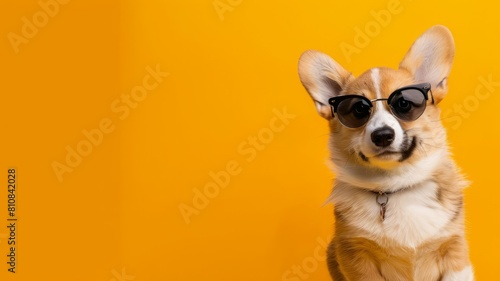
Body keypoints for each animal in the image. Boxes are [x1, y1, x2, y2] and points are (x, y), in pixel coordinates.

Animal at [298, 25, 474, 278]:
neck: (394, 186)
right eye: (358, 110)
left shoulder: (453, 248)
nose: (382, 135)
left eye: (404, 104)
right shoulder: (356, 255)